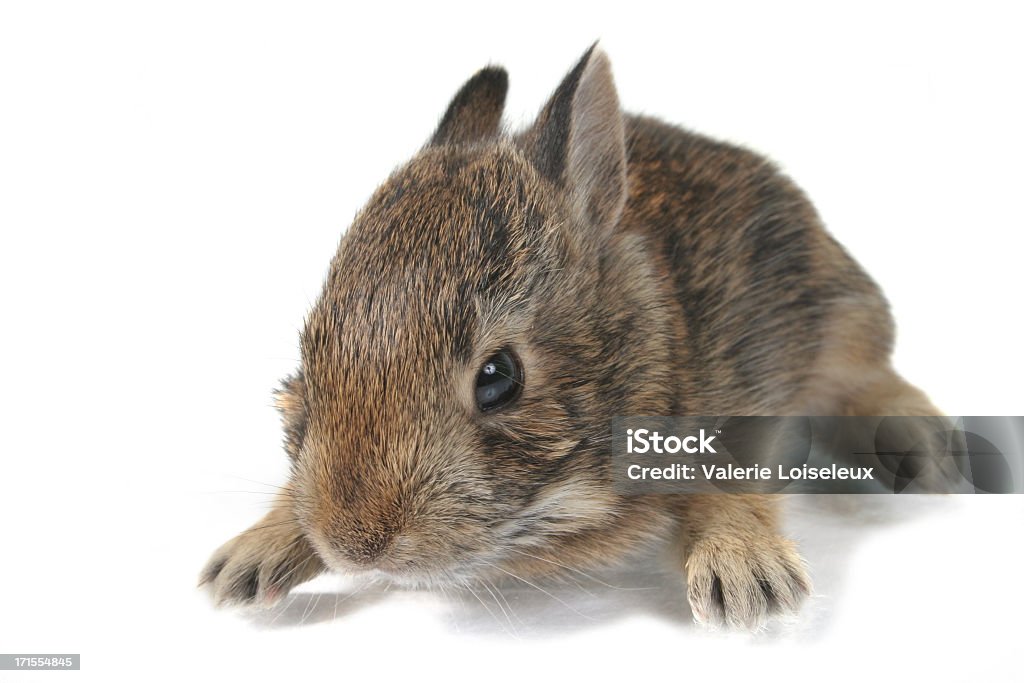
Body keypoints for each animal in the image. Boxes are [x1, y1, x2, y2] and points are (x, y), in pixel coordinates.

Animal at [199, 44, 942, 630]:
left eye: (499, 377)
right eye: (310, 350)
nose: (355, 544)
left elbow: (730, 482)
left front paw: (746, 578)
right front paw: (247, 560)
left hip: (845, 319)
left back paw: (925, 452)